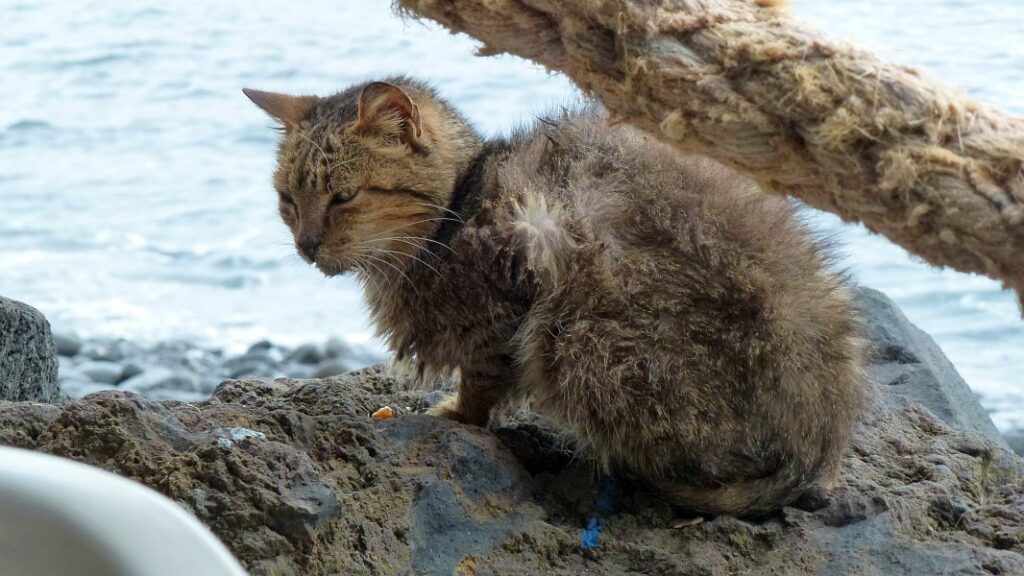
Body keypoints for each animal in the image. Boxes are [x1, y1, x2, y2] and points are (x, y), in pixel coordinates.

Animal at [244, 76, 866, 517]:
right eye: (287, 199)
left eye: (343, 197)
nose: (305, 244)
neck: (454, 208)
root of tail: (821, 437)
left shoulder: (506, 299)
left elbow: (481, 381)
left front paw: (458, 415)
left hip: (574, 340)